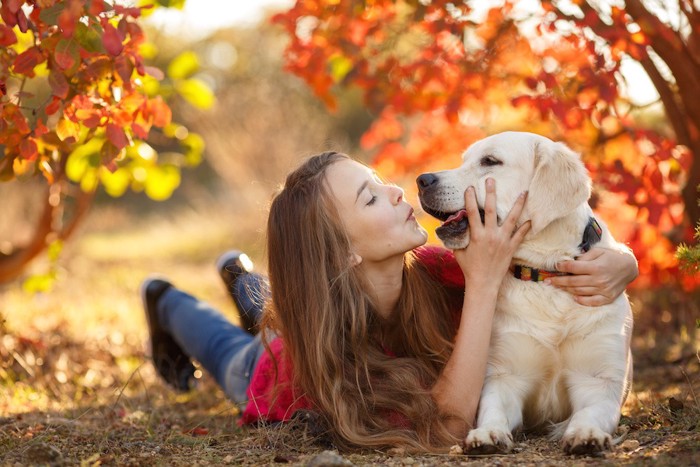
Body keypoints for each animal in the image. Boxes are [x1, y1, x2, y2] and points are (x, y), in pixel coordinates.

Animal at [416, 132, 636, 458]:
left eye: (490, 161)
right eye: (464, 160)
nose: (422, 180)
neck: (546, 272)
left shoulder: (598, 380)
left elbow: (589, 412)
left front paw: (586, 434)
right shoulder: (505, 375)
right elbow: (493, 409)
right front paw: (487, 433)